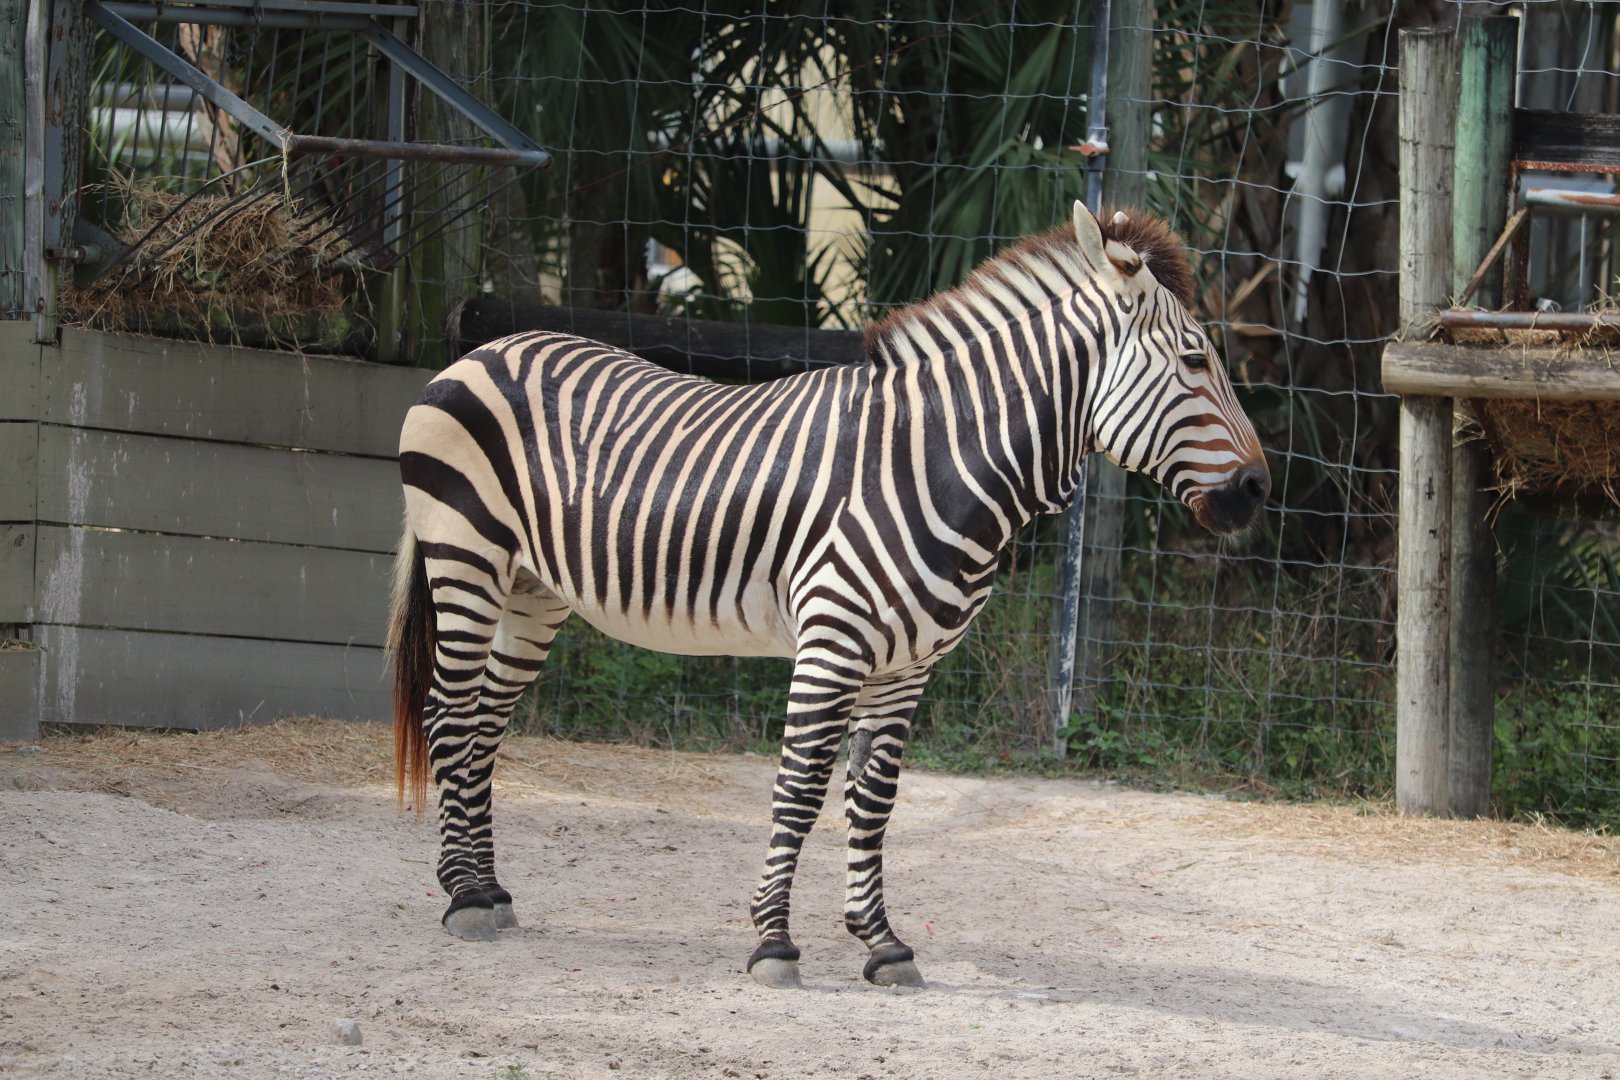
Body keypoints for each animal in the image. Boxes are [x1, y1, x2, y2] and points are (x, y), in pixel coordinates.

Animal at [388, 202, 1269, 990]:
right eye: (1196, 361)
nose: (1260, 492)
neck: (941, 462)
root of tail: (484, 349)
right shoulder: (832, 644)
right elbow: (802, 788)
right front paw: (774, 942)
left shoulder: (909, 665)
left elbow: (873, 801)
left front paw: (881, 944)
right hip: (465, 559)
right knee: (449, 714)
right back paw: (463, 898)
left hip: (533, 590)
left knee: (487, 724)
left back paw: (488, 887)